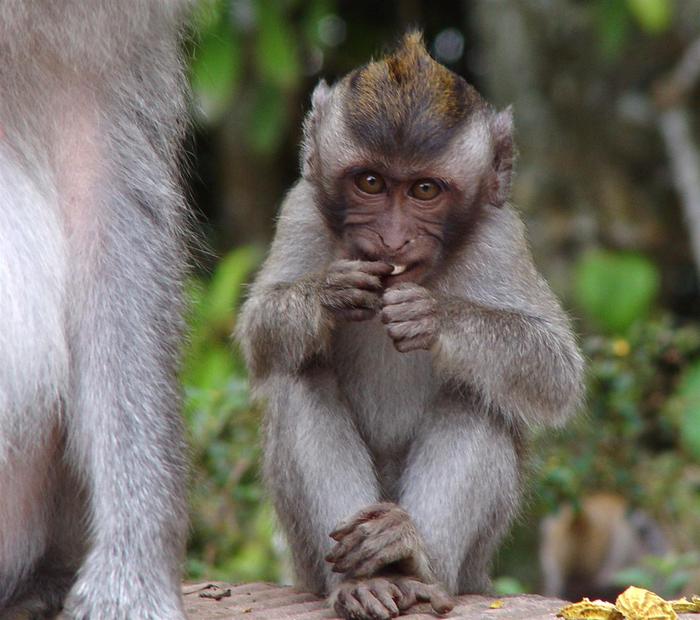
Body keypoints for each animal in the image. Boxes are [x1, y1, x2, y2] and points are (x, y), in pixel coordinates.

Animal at [238, 31, 584, 616]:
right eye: (370, 182)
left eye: (424, 190)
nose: (393, 240)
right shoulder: (300, 210)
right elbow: (259, 334)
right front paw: (330, 295)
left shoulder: (500, 235)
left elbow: (556, 368)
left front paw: (430, 314)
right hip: (307, 557)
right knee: (302, 378)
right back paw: (363, 581)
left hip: (473, 563)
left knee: (477, 394)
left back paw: (415, 560)